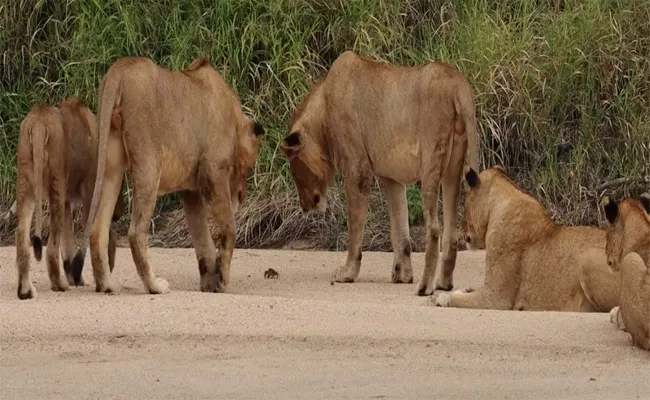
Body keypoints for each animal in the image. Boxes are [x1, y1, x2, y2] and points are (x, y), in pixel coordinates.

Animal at [14, 97, 124, 300]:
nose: (119, 214)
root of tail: (39, 123)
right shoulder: (89, 192)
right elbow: (99, 234)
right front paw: (102, 275)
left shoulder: (66, 201)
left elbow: (68, 242)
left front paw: (76, 277)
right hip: (56, 184)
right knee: (51, 247)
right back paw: (59, 285)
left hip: (26, 185)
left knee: (22, 238)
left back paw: (25, 291)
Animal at [77, 55, 264, 294]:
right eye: (248, 167)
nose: (241, 196)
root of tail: (120, 69)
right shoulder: (213, 172)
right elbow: (229, 227)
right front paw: (222, 278)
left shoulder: (191, 189)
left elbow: (203, 239)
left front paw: (210, 283)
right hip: (149, 163)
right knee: (136, 231)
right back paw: (155, 285)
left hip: (111, 167)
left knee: (97, 229)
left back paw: (107, 285)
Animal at [278, 50, 476, 296]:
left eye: (294, 171)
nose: (305, 207)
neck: (322, 109)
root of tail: (457, 84)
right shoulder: (392, 178)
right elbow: (400, 229)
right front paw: (402, 274)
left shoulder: (358, 170)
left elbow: (354, 228)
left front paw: (347, 273)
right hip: (453, 170)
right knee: (450, 232)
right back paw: (443, 284)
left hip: (431, 160)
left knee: (434, 228)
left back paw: (425, 287)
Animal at [430, 167, 616, 310]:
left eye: (465, 203)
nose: (462, 229)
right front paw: (464, 289)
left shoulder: (496, 298)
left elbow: (459, 299)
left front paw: (441, 297)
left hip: (588, 259)